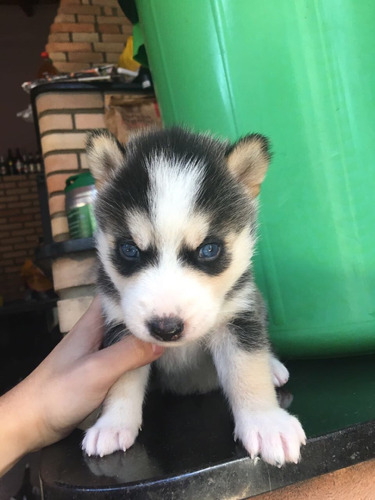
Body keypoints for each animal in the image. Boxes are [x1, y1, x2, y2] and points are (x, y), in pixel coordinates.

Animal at [81, 126, 306, 464]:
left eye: (209, 249)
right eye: (129, 249)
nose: (166, 328)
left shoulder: (238, 316)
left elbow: (247, 370)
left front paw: (267, 424)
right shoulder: (118, 324)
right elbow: (122, 379)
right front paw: (113, 423)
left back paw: (273, 366)